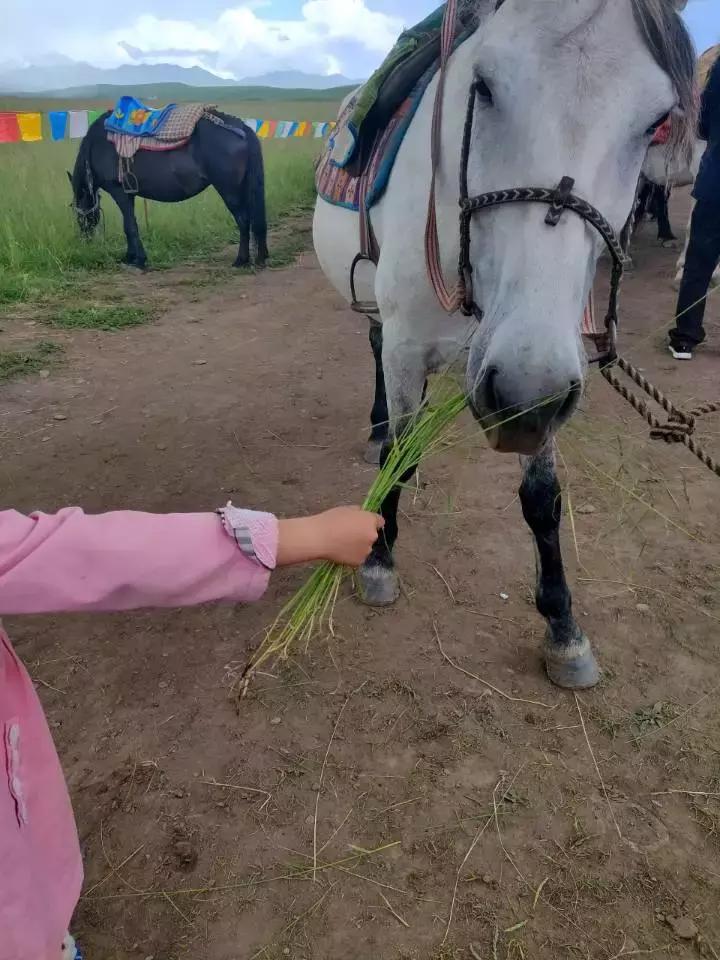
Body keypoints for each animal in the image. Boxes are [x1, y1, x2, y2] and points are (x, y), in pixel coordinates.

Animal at [68, 110, 268, 270]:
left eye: (77, 212)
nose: (85, 240)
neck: (97, 145)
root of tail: (241, 127)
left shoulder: (119, 192)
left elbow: (130, 226)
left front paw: (138, 260)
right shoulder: (128, 194)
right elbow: (129, 223)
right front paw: (131, 257)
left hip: (230, 191)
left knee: (243, 221)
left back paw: (241, 260)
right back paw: (260, 256)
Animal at [313, 0, 695, 690]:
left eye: (657, 123)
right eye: (484, 86)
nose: (521, 394)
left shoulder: (541, 373)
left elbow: (542, 499)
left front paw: (563, 628)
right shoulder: (414, 347)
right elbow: (399, 457)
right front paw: (379, 557)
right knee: (376, 357)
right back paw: (379, 428)